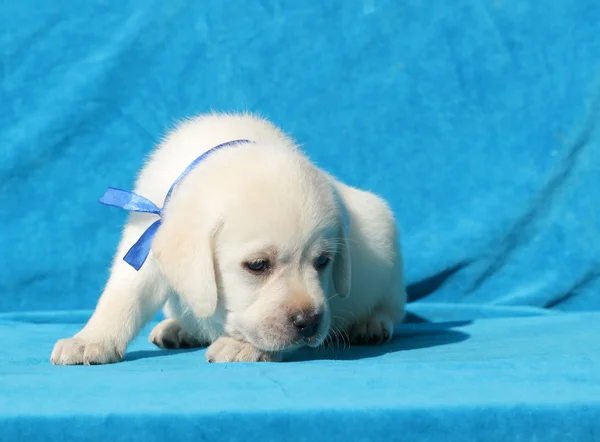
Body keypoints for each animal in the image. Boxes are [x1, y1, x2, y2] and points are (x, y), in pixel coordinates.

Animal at [50, 112, 408, 364]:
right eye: (258, 265)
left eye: (323, 262)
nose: (309, 321)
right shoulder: (144, 241)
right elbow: (122, 296)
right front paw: (90, 339)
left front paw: (244, 347)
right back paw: (178, 328)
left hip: (388, 251)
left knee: (392, 307)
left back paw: (372, 325)